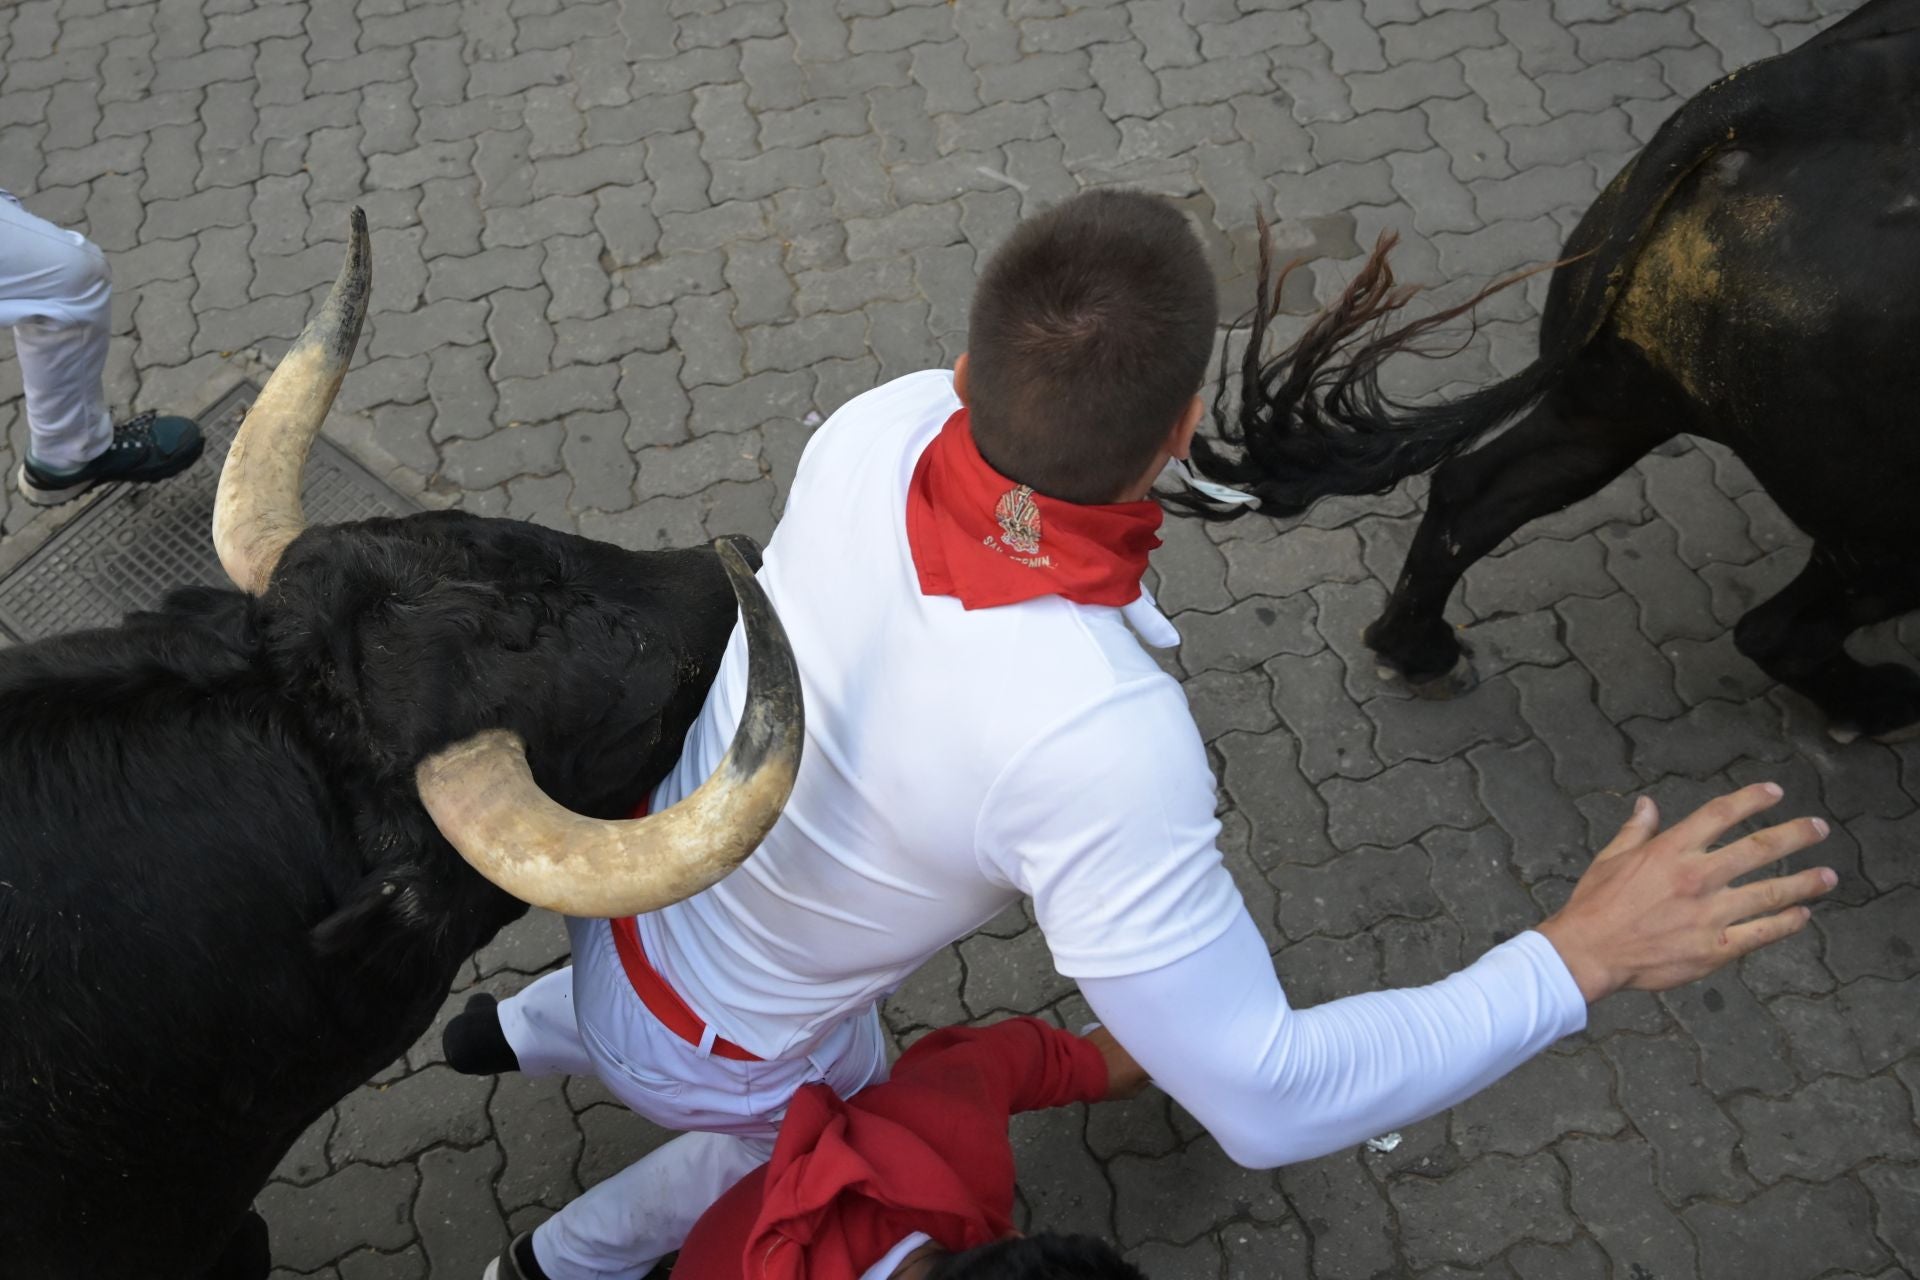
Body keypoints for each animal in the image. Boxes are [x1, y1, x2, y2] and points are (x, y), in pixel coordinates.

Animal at [1182, 0, 1920, 740]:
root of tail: (1798, 96)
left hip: (1612, 398)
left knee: (1473, 492)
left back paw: (1419, 652)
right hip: (1878, 526)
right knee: (1782, 632)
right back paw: (1880, 704)